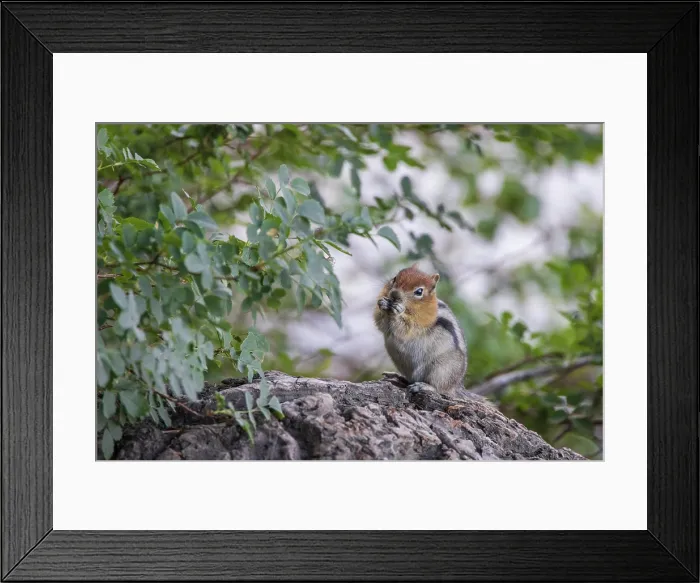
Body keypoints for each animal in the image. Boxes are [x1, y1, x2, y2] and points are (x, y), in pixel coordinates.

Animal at [373, 264, 468, 399]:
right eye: (395, 278)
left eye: (419, 292)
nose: (395, 294)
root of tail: (457, 386)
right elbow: (380, 322)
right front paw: (383, 303)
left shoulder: (419, 324)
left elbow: (406, 327)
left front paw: (397, 311)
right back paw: (398, 377)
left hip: (442, 369)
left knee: (440, 388)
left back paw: (424, 386)